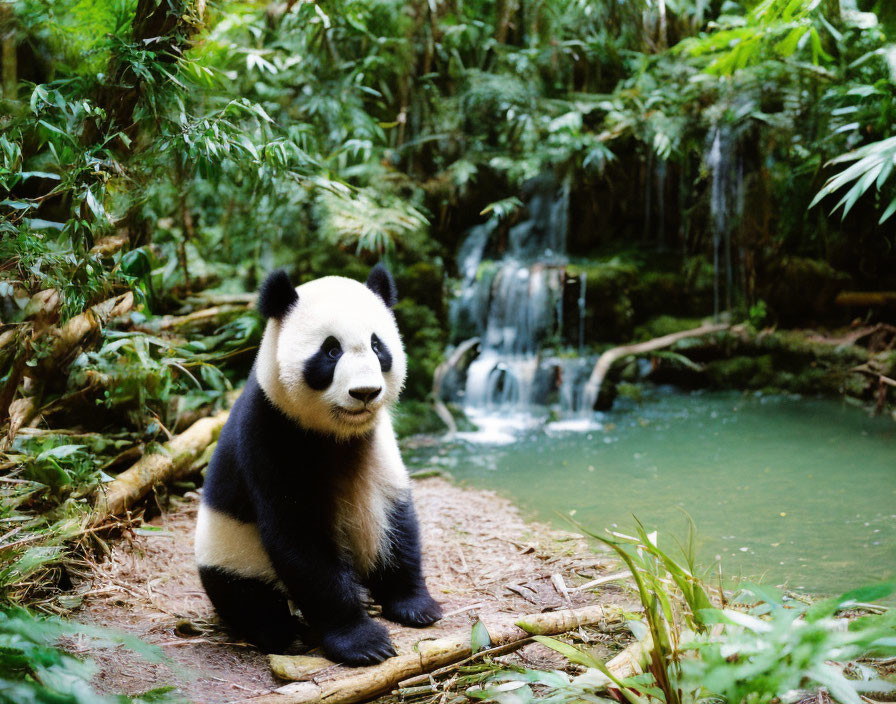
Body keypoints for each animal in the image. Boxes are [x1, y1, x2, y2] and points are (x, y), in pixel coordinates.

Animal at [200, 266, 444, 664]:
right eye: (331, 350)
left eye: (378, 346)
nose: (365, 393)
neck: (337, 434)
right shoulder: (271, 432)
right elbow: (299, 539)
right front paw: (364, 642)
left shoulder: (378, 438)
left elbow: (395, 517)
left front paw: (415, 606)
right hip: (230, 551)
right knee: (247, 598)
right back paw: (282, 631)